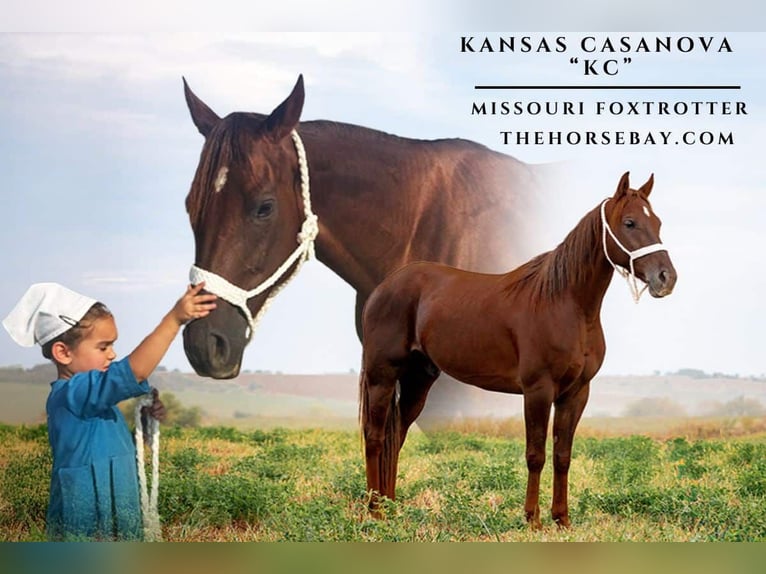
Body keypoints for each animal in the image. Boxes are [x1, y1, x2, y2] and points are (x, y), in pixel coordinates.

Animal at [359, 172, 677, 528]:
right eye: (630, 222)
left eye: (658, 222)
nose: (666, 278)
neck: (564, 303)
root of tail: (384, 287)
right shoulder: (538, 390)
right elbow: (535, 454)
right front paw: (532, 519)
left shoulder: (576, 393)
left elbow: (562, 455)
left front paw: (561, 519)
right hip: (382, 375)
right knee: (375, 437)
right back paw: (375, 512)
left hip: (418, 380)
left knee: (396, 435)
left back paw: (391, 507)